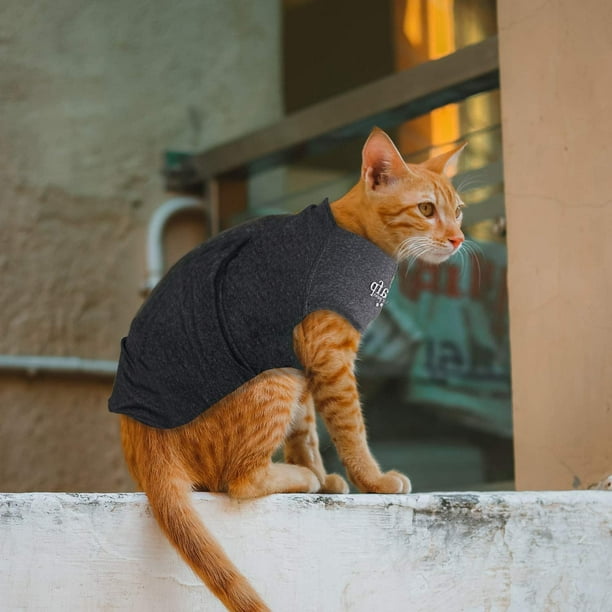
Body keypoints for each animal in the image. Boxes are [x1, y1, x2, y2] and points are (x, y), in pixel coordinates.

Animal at [118, 129, 464, 612]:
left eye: (459, 210)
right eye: (427, 210)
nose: (458, 238)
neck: (357, 238)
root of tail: (143, 437)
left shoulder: (308, 360)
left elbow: (306, 430)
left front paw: (324, 475)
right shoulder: (329, 355)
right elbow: (350, 428)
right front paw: (372, 481)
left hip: (288, 370)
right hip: (278, 375)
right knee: (239, 481)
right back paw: (298, 478)